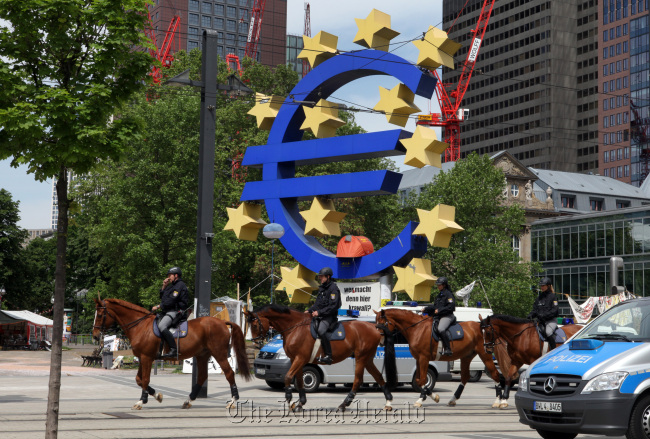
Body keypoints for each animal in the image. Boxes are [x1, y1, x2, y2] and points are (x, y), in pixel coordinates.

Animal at [93, 298, 251, 410]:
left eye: (100, 315)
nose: (95, 336)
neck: (141, 326)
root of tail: (223, 322)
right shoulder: (142, 357)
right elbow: (139, 380)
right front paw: (157, 395)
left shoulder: (147, 358)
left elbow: (145, 380)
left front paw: (142, 401)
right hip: (202, 355)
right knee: (202, 377)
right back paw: (188, 400)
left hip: (219, 354)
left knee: (229, 373)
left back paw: (233, 401)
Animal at [243, 306, 394, 412]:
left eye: (255, 325)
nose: (256, 344)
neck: (295, 328)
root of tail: (374, 327)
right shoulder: (296, 359)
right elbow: (299, 380)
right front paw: (300, 403)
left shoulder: (300, 358)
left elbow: (288, 377)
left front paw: (291, 402)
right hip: (367, 359)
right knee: (379, 376)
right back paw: (388, 402)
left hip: (361, 358)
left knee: (357, 380)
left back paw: (344, 404)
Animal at [370, 310, 502, 410]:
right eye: (376, 323)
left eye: (382, 323)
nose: (380, 341)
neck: (417, 329)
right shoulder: (418, 359)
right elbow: (419, 380)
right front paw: (432, 397)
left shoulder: (423, 358)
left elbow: (422, 380)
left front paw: (421, 400)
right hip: (466, 356)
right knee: (465, 377)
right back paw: (453, 399)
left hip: (485, 354)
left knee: (495, 374)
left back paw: (499, 401)